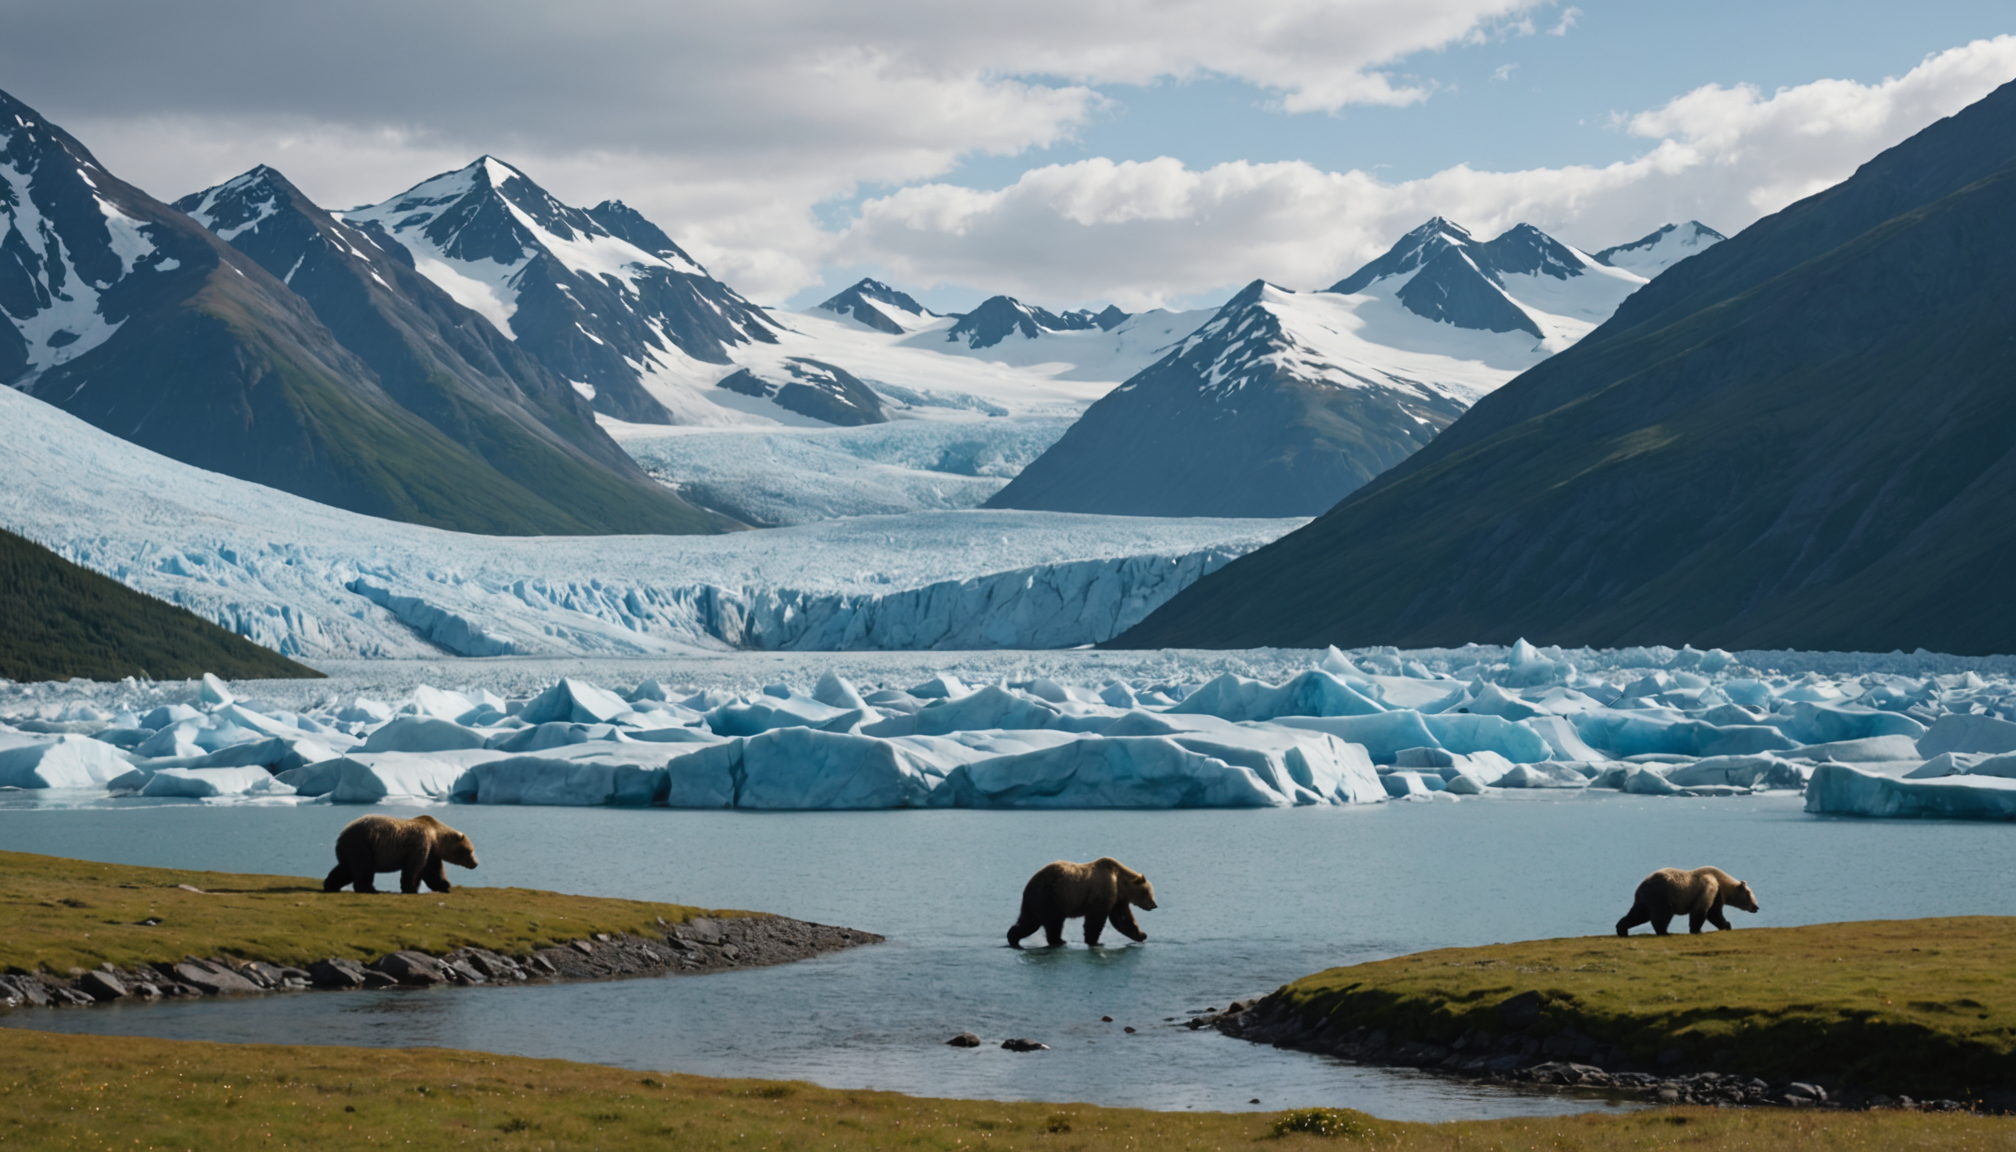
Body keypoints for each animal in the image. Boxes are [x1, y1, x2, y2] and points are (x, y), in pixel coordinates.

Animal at [322, 814, 479, 895]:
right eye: (471, 850)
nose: (476, 863)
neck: (436, 837)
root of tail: (341, 835)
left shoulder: (432, 851)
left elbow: (433, 871)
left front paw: (444, 886)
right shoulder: (420, 844)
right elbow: (414, 868)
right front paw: (410, 888)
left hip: (351, 850)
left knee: (345, 869)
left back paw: (330, 885)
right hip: (362, 845)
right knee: (364, 868)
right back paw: (370, 889)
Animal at [1006, 857, 1157, 948]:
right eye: (1149, 892)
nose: (1154, 905)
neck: (1119, 882)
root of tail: (1028, 886)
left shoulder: (1117, 899)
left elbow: (1123, 919)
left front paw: (1141, 935)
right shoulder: (1102, 892)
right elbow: (1096, 919)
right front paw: (1094, 941)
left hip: (1035, 903)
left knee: (1029, 922)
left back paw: (1013, 938)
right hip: (1051, 898)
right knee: (1053, 923)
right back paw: (1059, 941)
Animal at [1615, 866, 1758, 936]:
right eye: (1750, 894)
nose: (1756, 907)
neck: (1721, 883)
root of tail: (1640, 887)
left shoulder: (1717, 894)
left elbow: (1714, 913)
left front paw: (1726, 925)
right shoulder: (1708, 887)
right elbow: (1701, 911)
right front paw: (1697, 930)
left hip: (1645, 900)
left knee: (1638, 914)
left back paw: (1622, 929)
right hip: (1661, 895)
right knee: (1663, 914)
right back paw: (1665, 932)